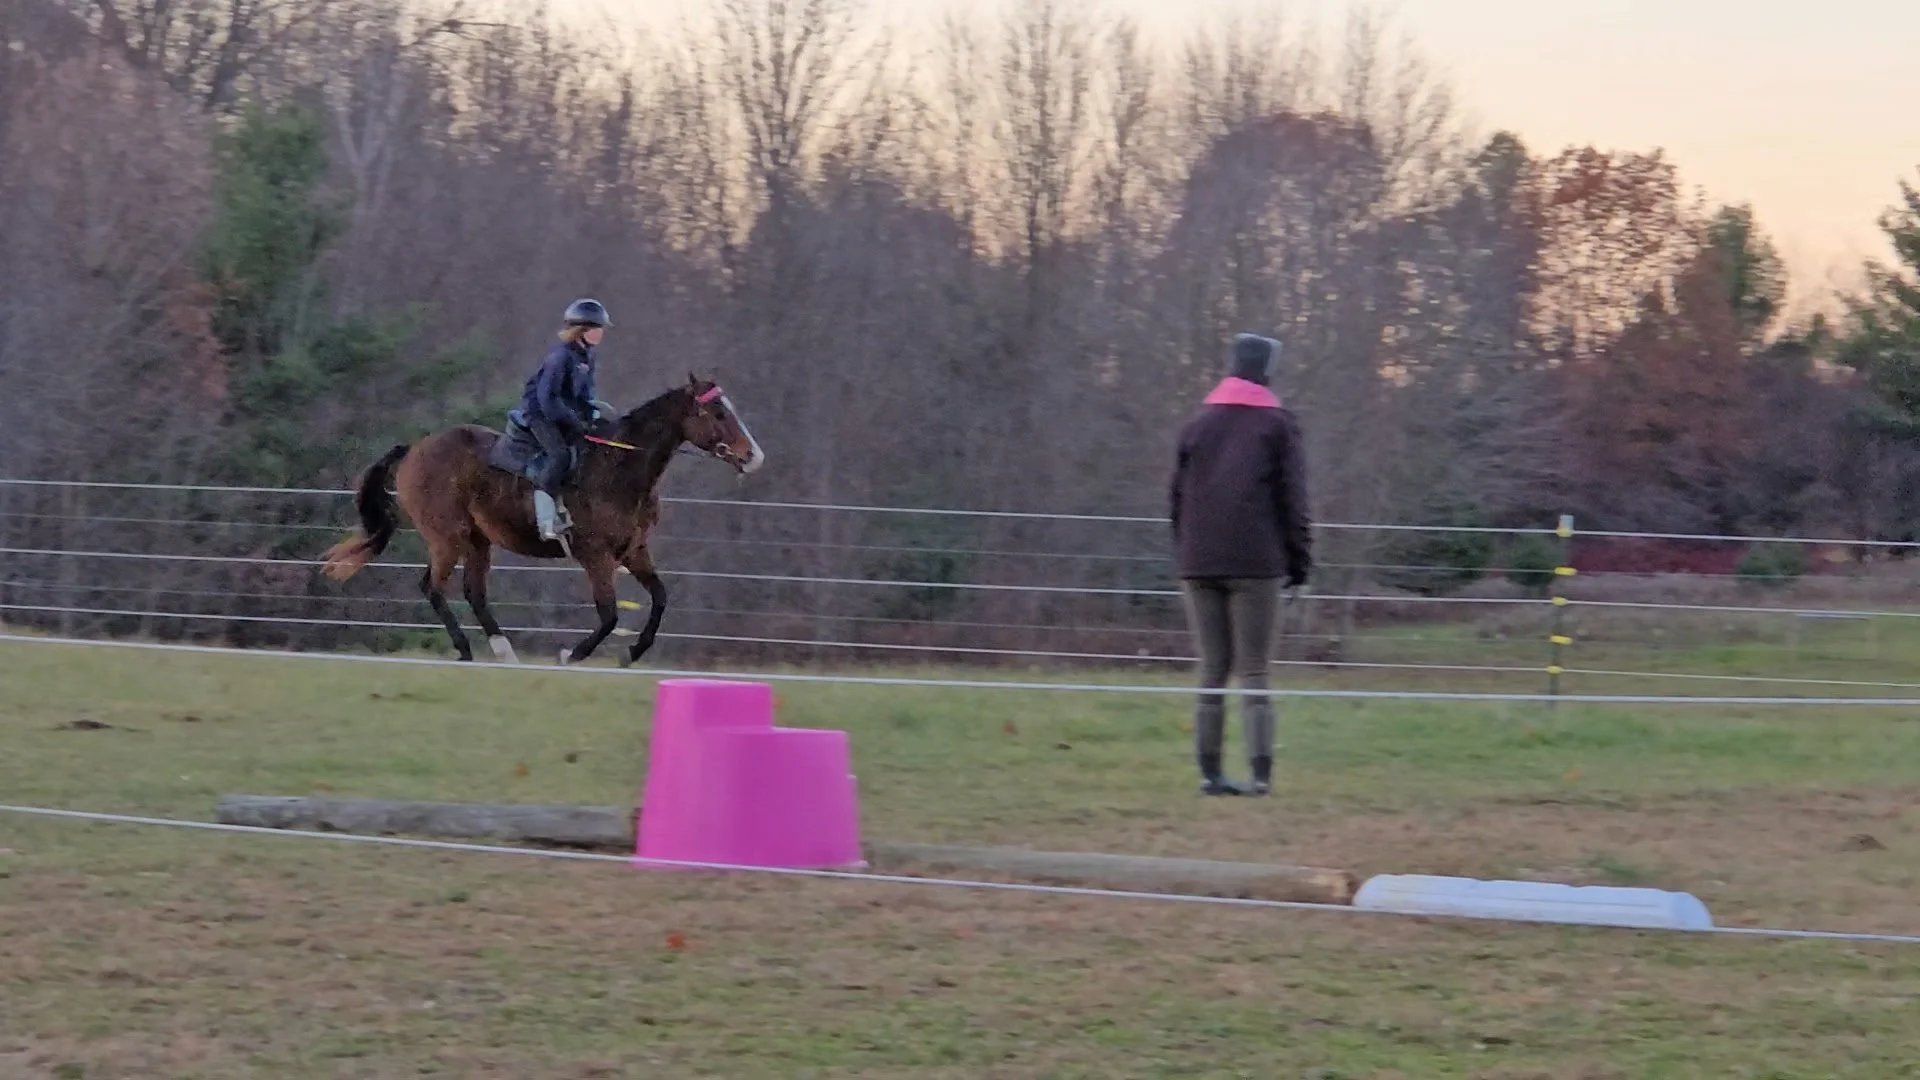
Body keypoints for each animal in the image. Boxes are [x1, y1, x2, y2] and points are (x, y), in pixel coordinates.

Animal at [319, 374, 764, 667]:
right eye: (717, 412)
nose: (753, 456)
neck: (619, 467)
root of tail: (415, 449)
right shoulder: (596, 556)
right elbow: (609, 614)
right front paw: (573, 653)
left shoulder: (633, 551)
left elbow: (660, 598)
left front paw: (634, 651)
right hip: (447, 537)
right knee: (432, 587)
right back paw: (465, 649)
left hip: (478, 541)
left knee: (473, 593)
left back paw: (504, 651)